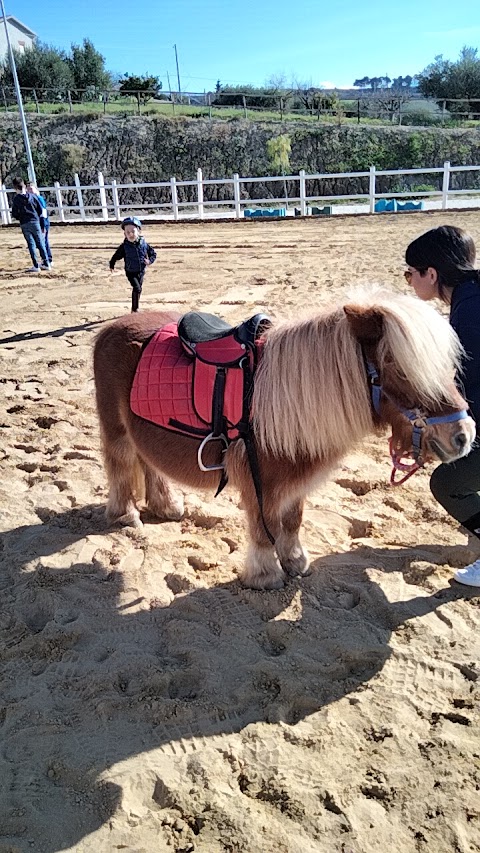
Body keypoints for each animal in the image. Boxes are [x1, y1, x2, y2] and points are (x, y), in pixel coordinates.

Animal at [94, 286, 476, 584]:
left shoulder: (296, 473)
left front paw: (295, 561)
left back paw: (166, 505)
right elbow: (262, 528)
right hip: (117, 430)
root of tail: (111, 327)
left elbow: (292, 520)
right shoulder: (257, 479)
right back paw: (126, 515)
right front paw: (266, 574)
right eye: (398, 367)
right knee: (121, 463)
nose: (463, 436)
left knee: (148, 461)